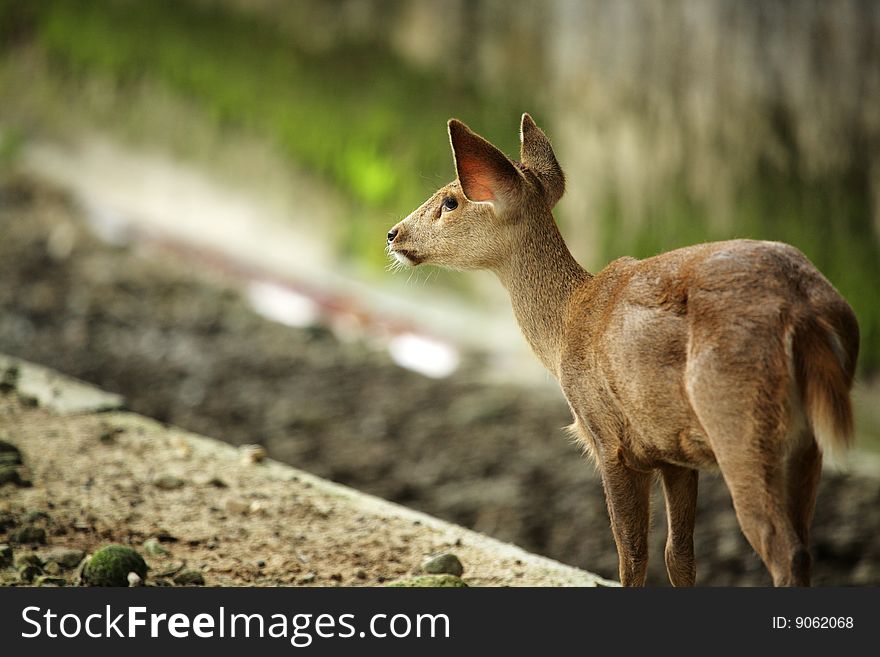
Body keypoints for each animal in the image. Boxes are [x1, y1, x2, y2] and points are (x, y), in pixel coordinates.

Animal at [384, 113, 860, 584]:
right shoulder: (672, 451)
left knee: (784, 549)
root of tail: (805, 311)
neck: (567, 324)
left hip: (738, 419)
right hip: (804, 441)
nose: (392, 233)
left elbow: (631, 554)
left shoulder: (608, 437)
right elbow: (678, 554)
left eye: (450, 201)